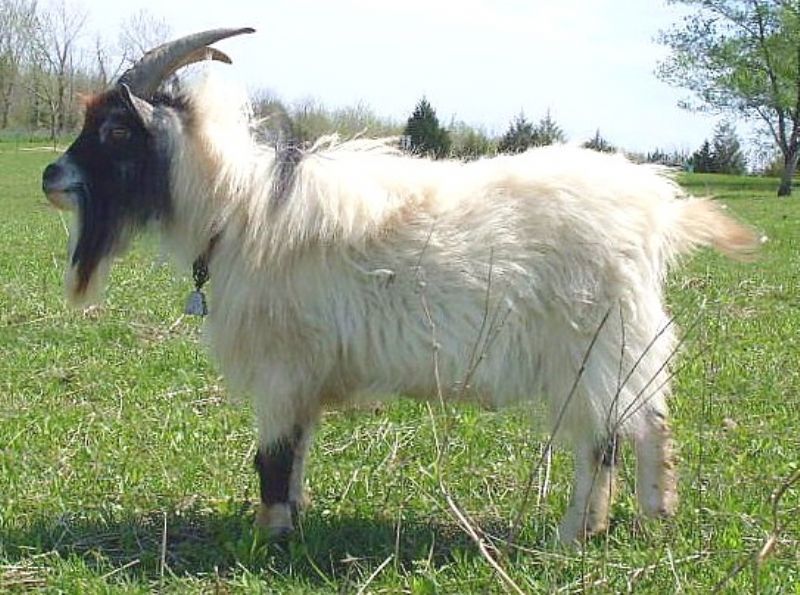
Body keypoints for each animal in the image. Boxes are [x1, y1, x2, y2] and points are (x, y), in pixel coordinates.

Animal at [41, 28, 757, 543]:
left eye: (115, 130)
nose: (50, 176)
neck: (236, 207)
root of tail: (657, 209)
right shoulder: (307, 372)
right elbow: (297, 450)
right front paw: (294, 521)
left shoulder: (282, 363)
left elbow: (271, 454)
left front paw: (269, 538)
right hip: (628, 341)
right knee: (651, 421)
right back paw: (656, 515)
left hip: (589, 344)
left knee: (601, 440)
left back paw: (574, 535)